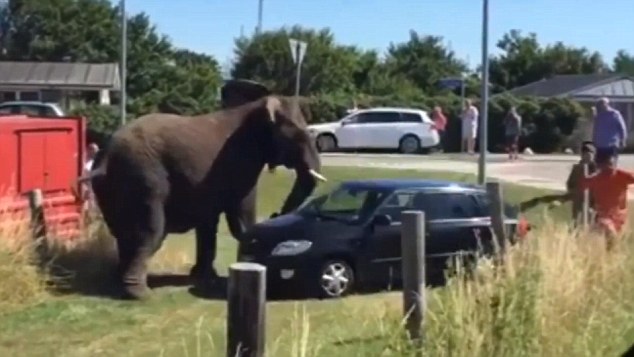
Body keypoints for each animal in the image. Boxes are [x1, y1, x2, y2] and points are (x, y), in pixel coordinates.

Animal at [81, 85, 324, 298]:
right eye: (298, 137)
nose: (275, 213)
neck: (257, 108)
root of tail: (105, 157)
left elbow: (208, 223)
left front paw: (205, 277)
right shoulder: (242, 163)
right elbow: (240, 217)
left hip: (112, 189)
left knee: (122, 233)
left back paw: (118, 282)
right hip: (143, 178)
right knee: (150, 232)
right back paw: (140, 294)